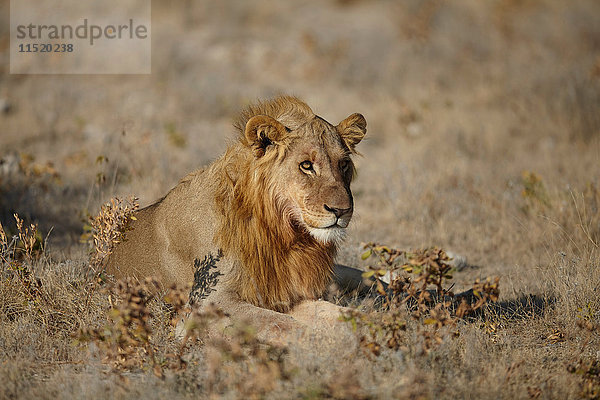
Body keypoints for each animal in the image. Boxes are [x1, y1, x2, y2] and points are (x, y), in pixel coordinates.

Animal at [108, 96, 370, 338]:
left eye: (343, 164)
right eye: (306, 165)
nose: (341, 210)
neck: (285, 234)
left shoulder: (287, 293)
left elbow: (336, 313)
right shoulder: (209, 300)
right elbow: (283, 325)